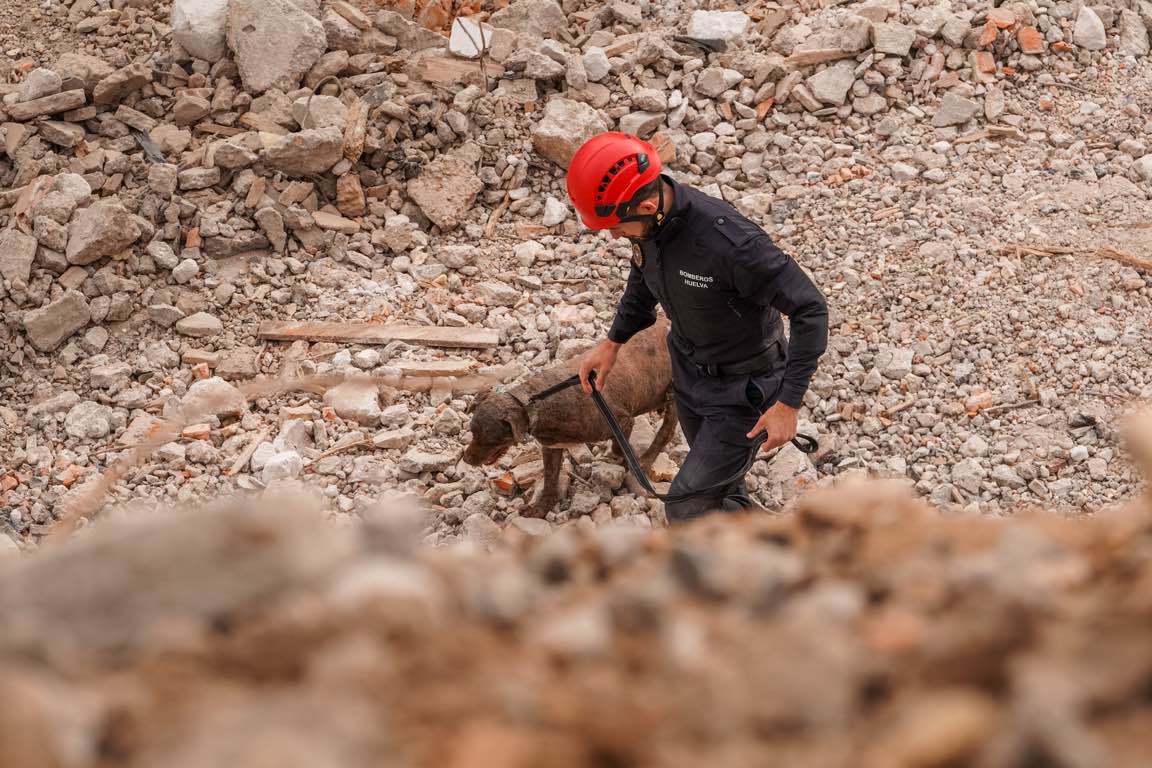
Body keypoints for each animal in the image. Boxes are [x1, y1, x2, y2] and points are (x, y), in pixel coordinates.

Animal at [460, 317, 672, 515]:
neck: (537, 405)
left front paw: (626, 461)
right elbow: (550, 479)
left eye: (490, 440)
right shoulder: (551, 448)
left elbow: (619, 447)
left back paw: (645, 461)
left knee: (665, 433)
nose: (466, 460)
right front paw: (541, 507)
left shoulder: (623, 422)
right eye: (473, 432)